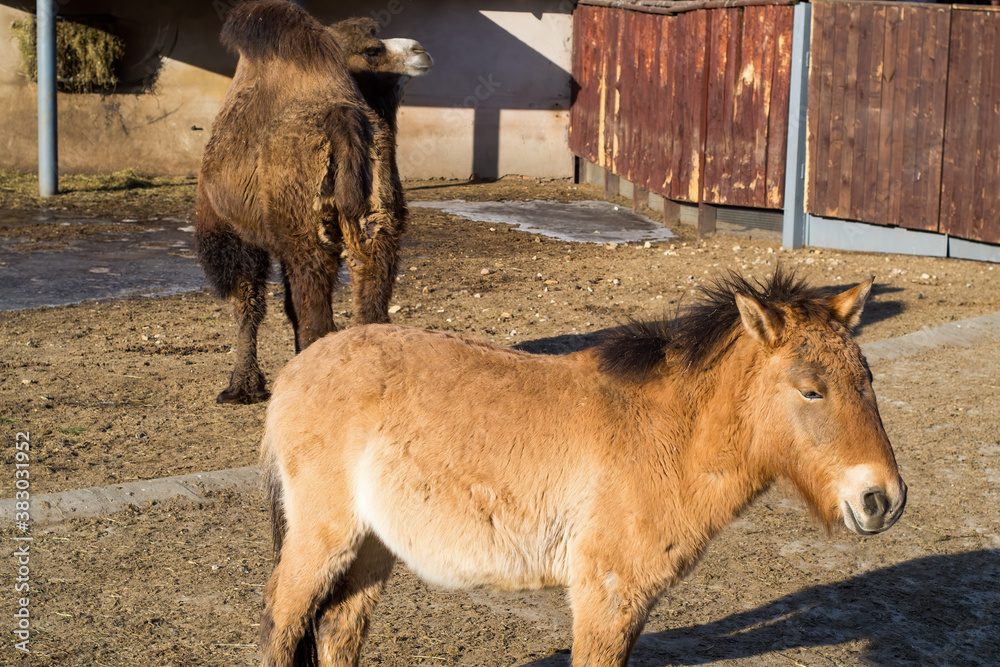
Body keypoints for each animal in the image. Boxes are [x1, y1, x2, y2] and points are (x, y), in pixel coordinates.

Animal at [194, 0, 432, 404]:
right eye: (373, 50)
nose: (421, 51)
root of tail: (343, 117)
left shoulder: (234, 233)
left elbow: (248, 304)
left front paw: (239, 389)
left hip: (307, 238)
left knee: (315, 320)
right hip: (377, 223)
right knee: (369, 309)